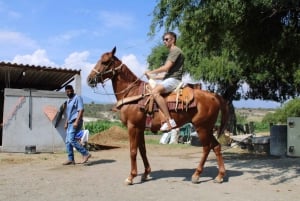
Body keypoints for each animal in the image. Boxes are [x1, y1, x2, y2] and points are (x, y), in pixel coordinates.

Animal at [88, 47, 229, 185]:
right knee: (216, 146)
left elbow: (133, 151)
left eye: (105, 62)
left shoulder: (132, 126)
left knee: (206, 147)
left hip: (201, 128)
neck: (132, 93)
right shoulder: (140, 128)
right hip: (208, 128)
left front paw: (131, 177)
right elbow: (142, 150)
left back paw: (196, 175)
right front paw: (145, 173)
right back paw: (220, 176)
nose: (89, 79)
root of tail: (213, 96)